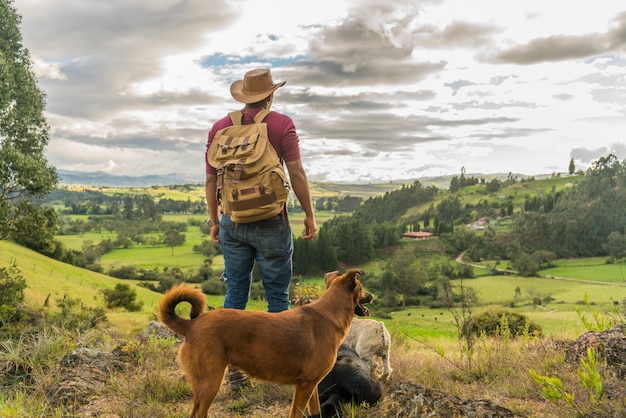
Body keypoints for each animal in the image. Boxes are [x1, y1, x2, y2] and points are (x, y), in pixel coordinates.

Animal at [158, 270, 370, 416]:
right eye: (361, 287)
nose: (372, 296)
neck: (329, 314)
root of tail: (191, 324)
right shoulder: (304, 387)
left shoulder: (312, 387)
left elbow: (315, 412)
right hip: (209, 384)